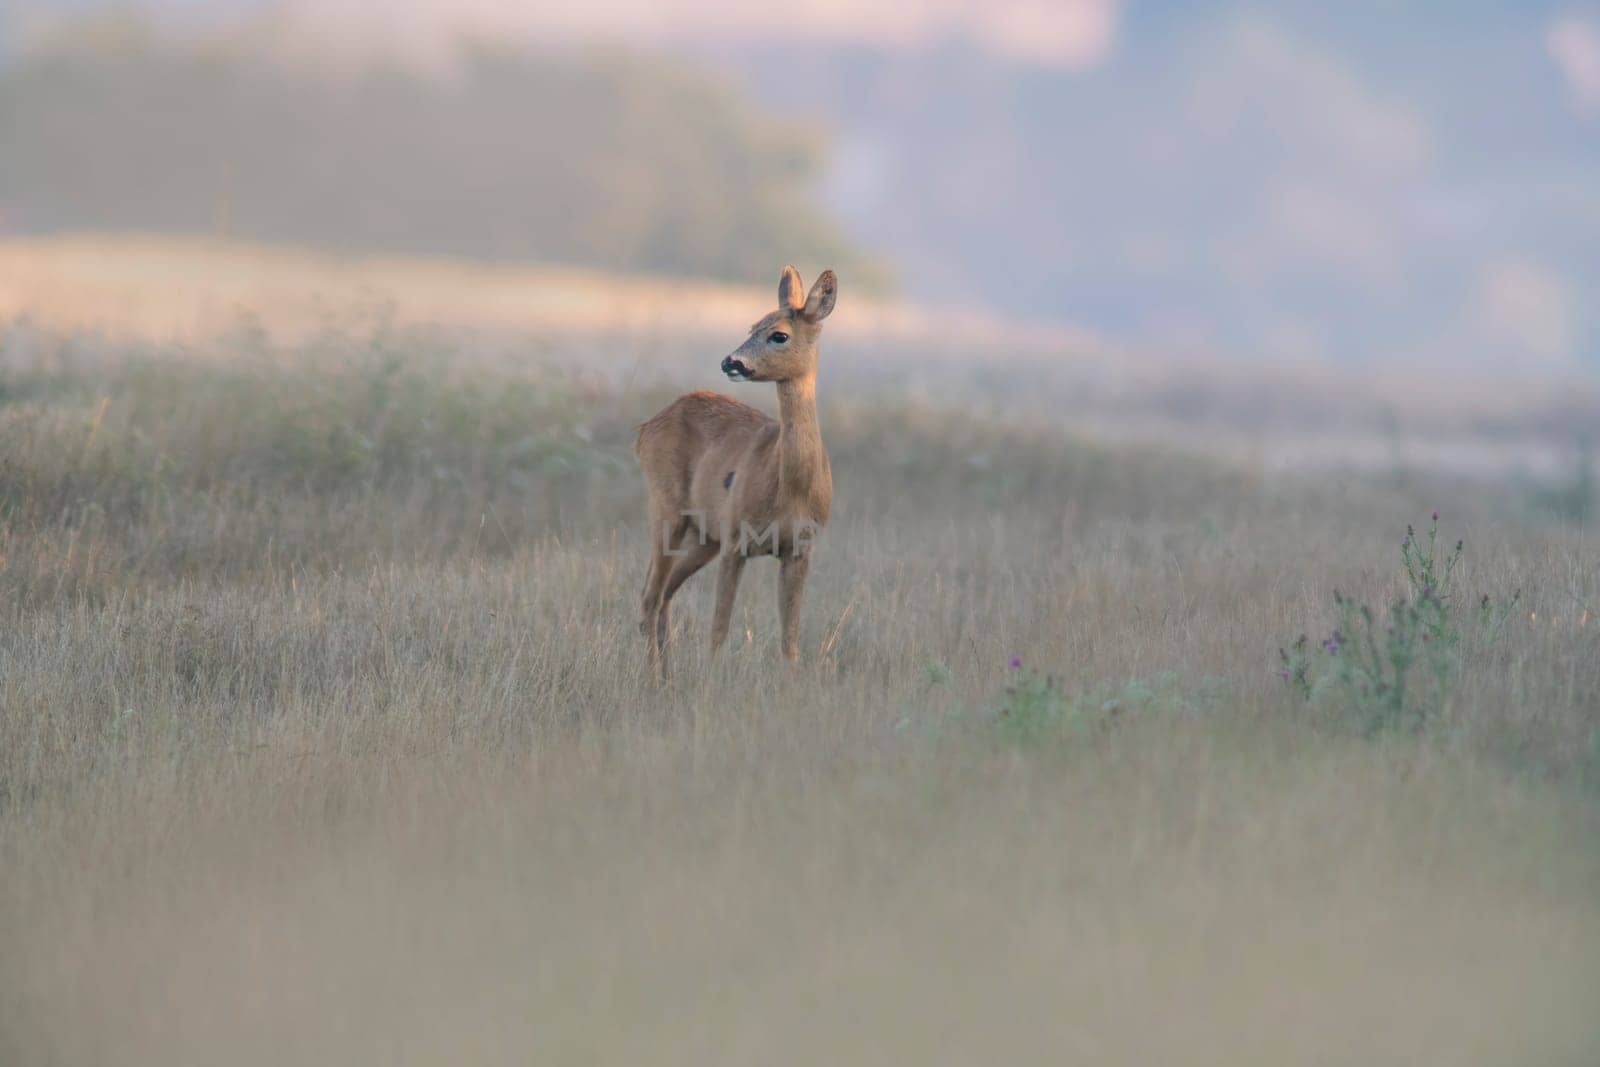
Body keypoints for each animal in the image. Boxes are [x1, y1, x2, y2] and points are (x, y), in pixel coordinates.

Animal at [633, 265, 844, 675]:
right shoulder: (736, 539)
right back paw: (651, 676)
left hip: (704, 536)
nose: (730, 362)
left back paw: (666, 673)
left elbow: (790, 640)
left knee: (664, 595)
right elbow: (719, 629)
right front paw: (712, 680)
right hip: (666, 509)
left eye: (779, 334)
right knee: (649, 597)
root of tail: (645, 428)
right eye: (752, 326)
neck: (789, 487)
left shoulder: (800, 547)